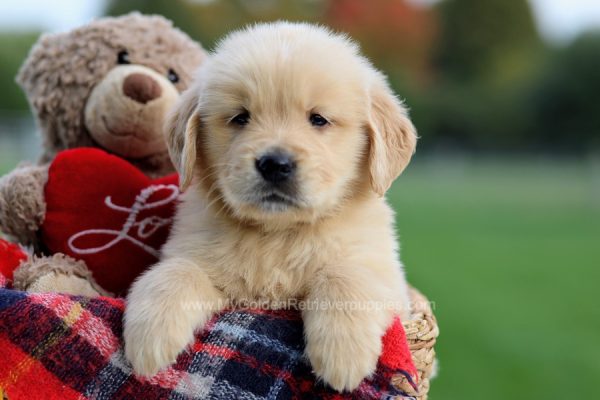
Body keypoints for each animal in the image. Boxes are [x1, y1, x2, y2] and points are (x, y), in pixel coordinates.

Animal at [124, 20, 418, 392]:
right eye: (240, 118)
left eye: (318, 119)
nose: (275, 164)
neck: (278, 234)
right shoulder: (198, 257)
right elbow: (175, 271)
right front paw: (149, 337)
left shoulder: (386, 275)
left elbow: (345, 274)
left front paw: (343, 354)